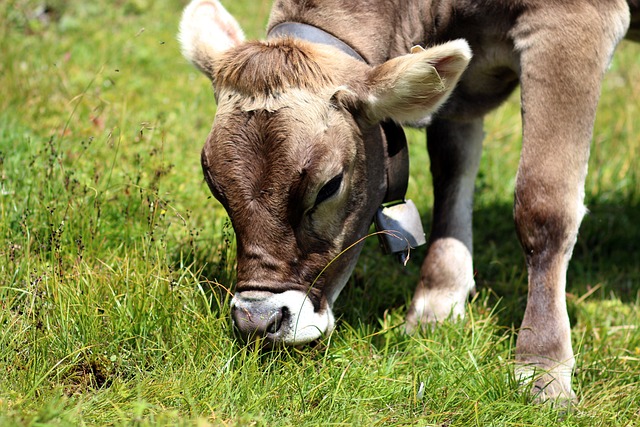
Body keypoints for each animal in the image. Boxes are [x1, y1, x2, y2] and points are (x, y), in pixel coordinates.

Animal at [178, 0, 636, 402]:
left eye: (329, 185)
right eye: (215, 185)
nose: (257, 321)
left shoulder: (571, 26)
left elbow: (543, 204)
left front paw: (543, 366)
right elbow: (452, 169)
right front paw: (438, 300)